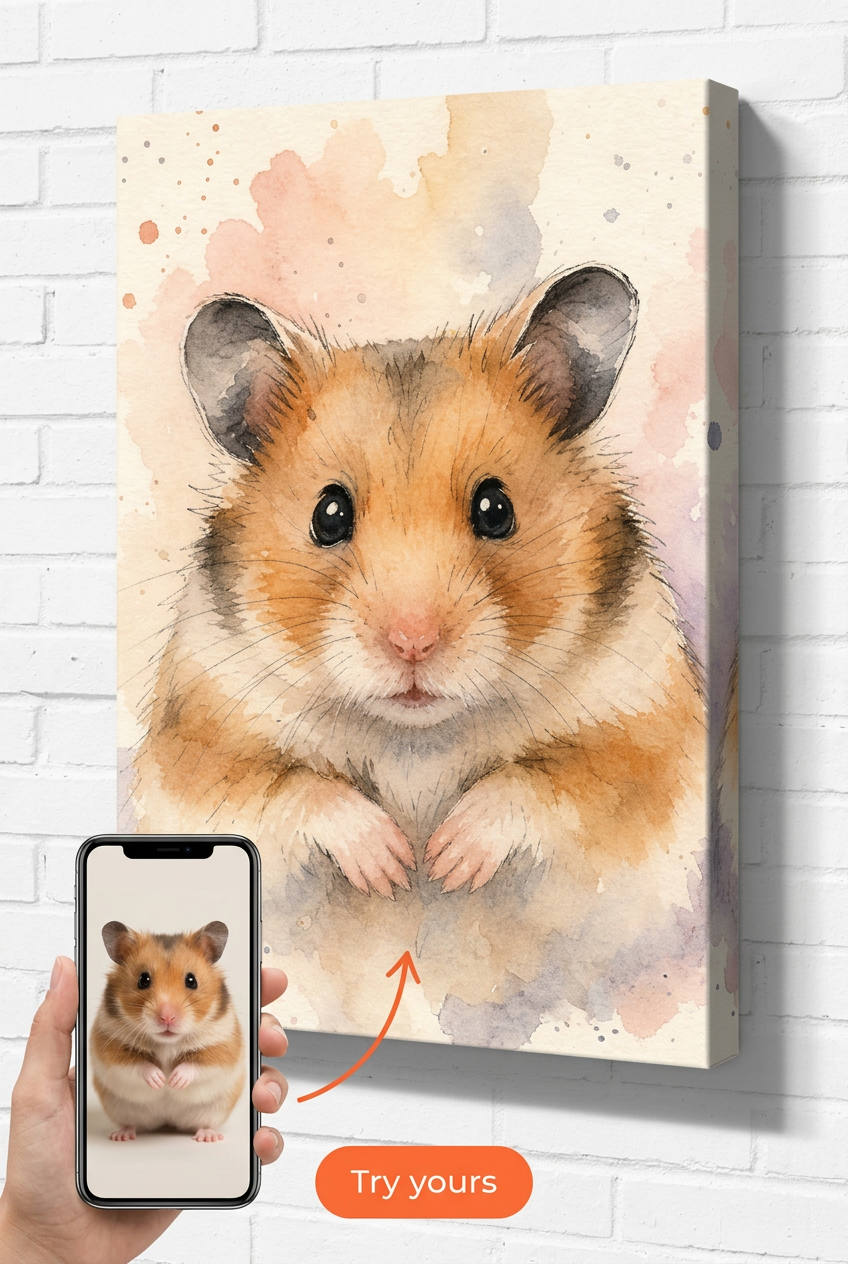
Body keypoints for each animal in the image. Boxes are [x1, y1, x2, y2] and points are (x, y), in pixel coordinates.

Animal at [90, 920, 245, 1142]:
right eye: (143, 979)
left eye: (191, 980)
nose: (167, 1018)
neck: (167, 1043)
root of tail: (167, 1121)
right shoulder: (111, 1045)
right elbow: (139, 1064)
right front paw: (160, 1081)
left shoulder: (221, 1046)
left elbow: (196, 1064)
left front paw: (173, 1081)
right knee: (131, 1123)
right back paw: (122, 1136)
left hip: (215, 1109)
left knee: (205, 1123)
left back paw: (207, 1136)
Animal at [134, 264, 708, 1044]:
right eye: (329, 514)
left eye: (496, 509)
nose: (413, 643)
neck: (417, 740)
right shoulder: (198, 747)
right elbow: (292, 786)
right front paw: (394, 865)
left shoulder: (648, 743)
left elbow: (553, 779)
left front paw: (447, 860)